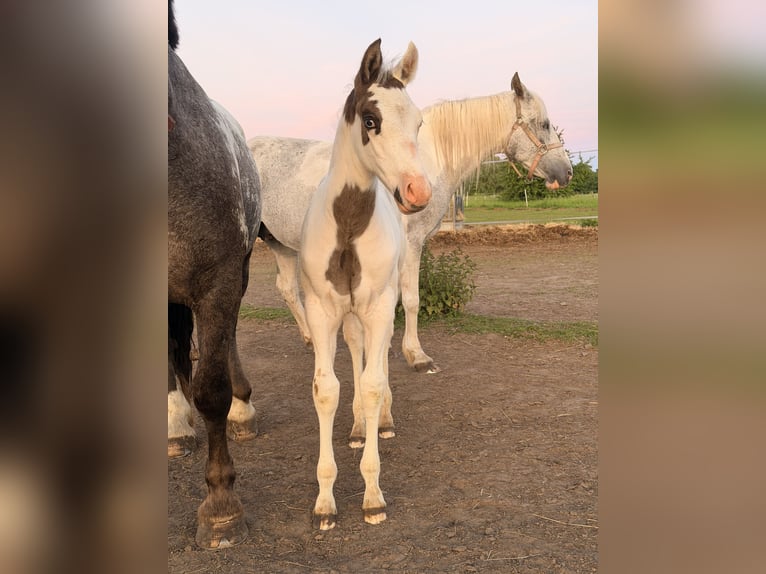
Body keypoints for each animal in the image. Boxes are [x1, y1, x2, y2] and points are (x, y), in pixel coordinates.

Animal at [250, 72, 573, 375]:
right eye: (544, 124)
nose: (566, 172)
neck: (426, 160)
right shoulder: (411, 243)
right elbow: (411, 299)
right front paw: (417, 356)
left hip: (281, 243)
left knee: (287, 289)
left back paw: (310, 339)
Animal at [300, 39, 431, 530]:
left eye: (418, 122)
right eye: (371, 120)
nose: (418, 192)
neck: (348, 226)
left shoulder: (377, 306)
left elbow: (373, 384)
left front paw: (373, 495)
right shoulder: (321, 311)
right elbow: (328, 389)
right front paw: (324, 501)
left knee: (382, 355)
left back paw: (383, 420)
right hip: (349, 314)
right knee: (355, 349)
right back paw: (358, 427)